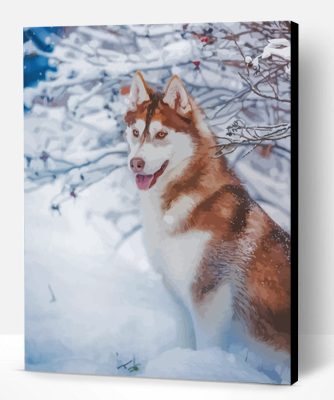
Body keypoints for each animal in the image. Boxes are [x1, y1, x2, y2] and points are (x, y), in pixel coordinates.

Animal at [124, 71, 290, 354]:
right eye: (136, 132)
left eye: (161, 134)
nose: (136, 163)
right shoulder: (177, 294)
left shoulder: (209, 296)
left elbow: (206, 345)